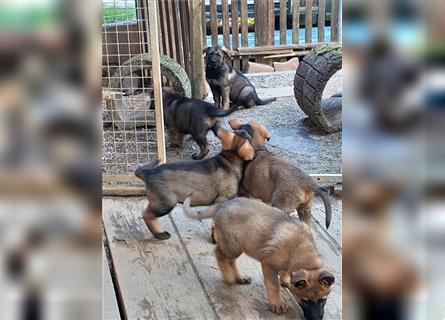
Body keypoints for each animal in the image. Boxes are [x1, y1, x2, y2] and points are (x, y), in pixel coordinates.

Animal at [181, 196, 332, 318]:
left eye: (323, 299)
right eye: (305, 301)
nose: (317, 319)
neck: (300, 249)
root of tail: (220, 205)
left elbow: (285, 272)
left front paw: (286, 280)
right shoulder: (268, 264)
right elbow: (273, 286)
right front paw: (277, 303)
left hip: (239, 245)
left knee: (231, 261)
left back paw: (239, 277)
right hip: (232, 247)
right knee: (219, 253)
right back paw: (229, 277)